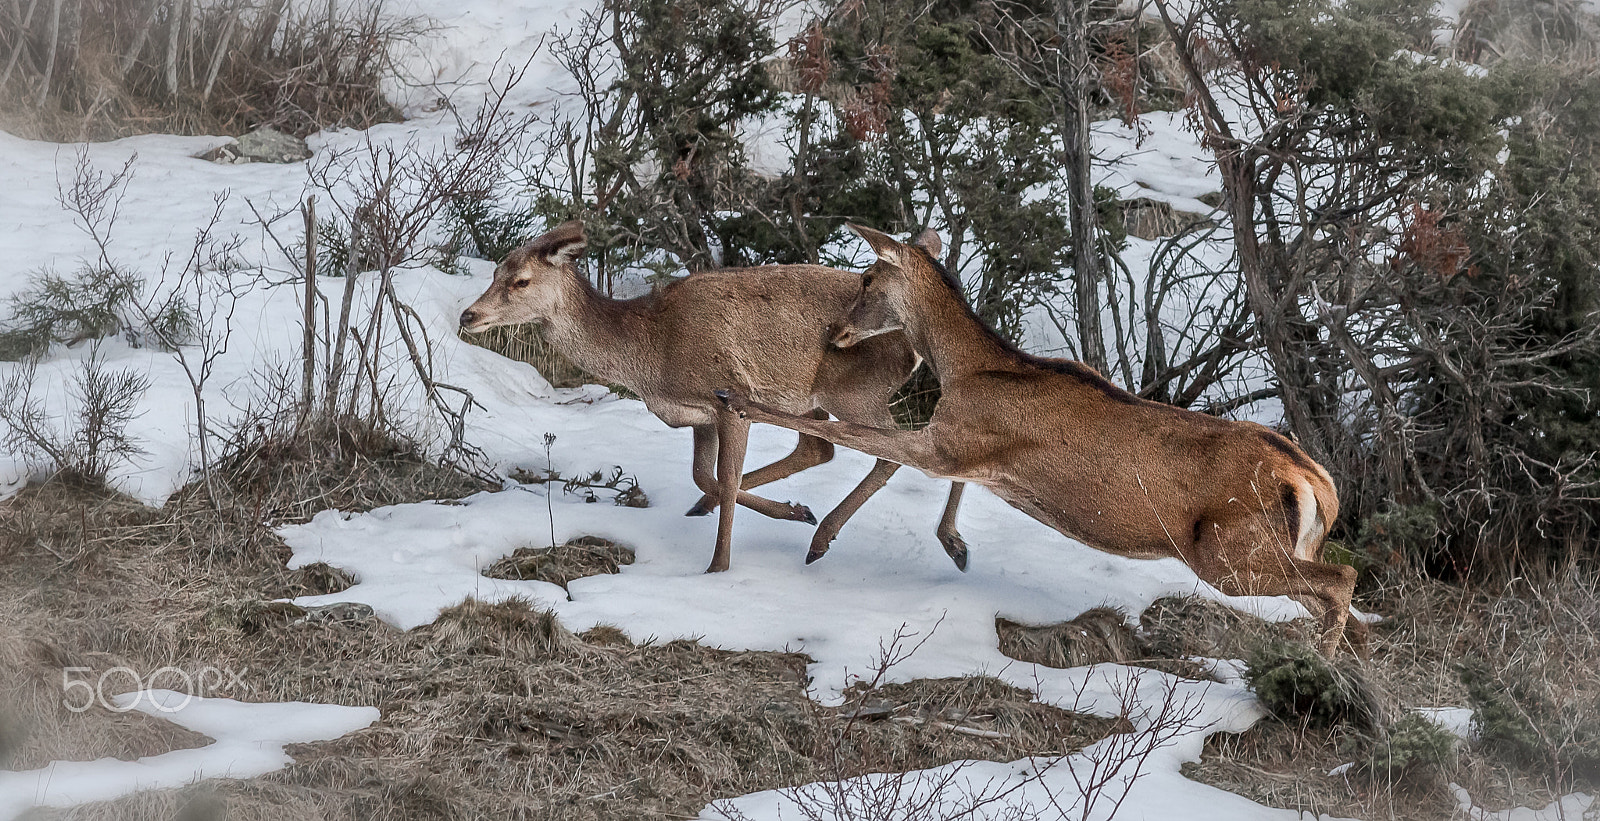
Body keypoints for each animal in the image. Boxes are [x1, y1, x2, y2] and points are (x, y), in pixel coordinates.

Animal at [457, 220, 966, 572]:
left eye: (521, 280)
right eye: (496, 270)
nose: (468, 315)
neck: (650, 354)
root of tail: (912, 341)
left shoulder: (731, 396)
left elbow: (724, 476)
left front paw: (718, 568)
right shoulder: (698, 417)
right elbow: (707, 477)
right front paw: (790, 509)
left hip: (854, 389)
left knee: (902, 449)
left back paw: (831, 538)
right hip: (813, 397)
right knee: (820, 447)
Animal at [723, 224, 1363, 652]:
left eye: (866, 278)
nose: (834, 330)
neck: (964, 369)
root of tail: (1315, 482)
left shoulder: (946, 443)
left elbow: (849, 435)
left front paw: (742, 407)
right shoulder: (969, 453)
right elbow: (949, 483)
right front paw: (954, 545)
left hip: (1226, 552)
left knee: (1343, 580)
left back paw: (1318, 669)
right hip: (1276, 549)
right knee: (1336, 600)